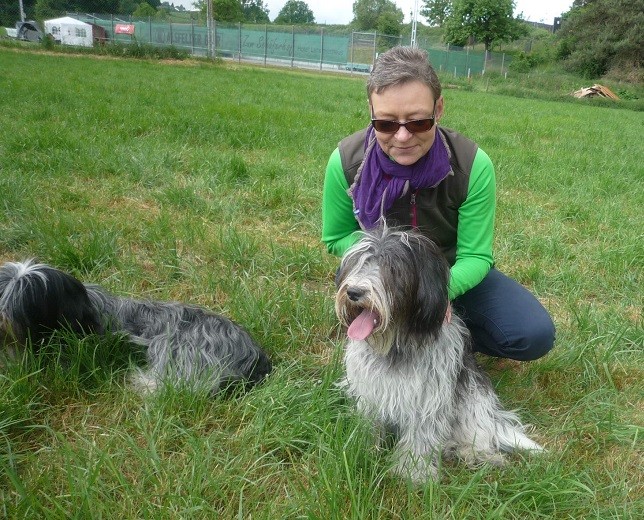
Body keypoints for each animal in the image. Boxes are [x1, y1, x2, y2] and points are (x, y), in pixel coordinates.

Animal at [334, 228, 540, 484]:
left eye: (393, 269)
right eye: (357, 263)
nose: (353, 292)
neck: (396, 345)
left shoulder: (428, 396)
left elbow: (420, 436)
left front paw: (413, 471)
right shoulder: (370, 389)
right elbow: (368, 424)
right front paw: (360, 450)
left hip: (474, 398)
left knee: (479, 430)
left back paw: (473, 452)